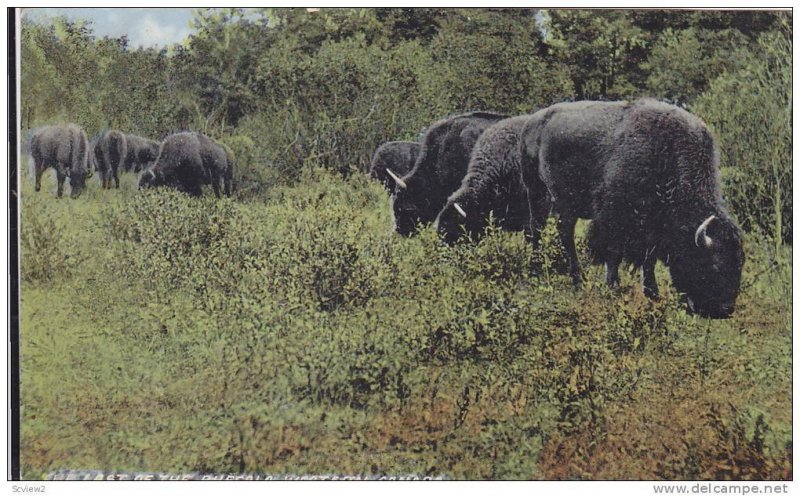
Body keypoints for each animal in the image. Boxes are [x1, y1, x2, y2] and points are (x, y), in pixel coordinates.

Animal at [520, 100, 744, 318]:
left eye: (739, 263)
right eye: (713, 264)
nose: (725, 310)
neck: (667, 152)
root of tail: (533, 122)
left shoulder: (651, 229)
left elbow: (649, 259)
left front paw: (653, 294)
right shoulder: (615, 218)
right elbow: (614, 253)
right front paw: (612, 286)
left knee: (551, 231)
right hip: (541, 192)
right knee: (547, 231)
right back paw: (564, 276)